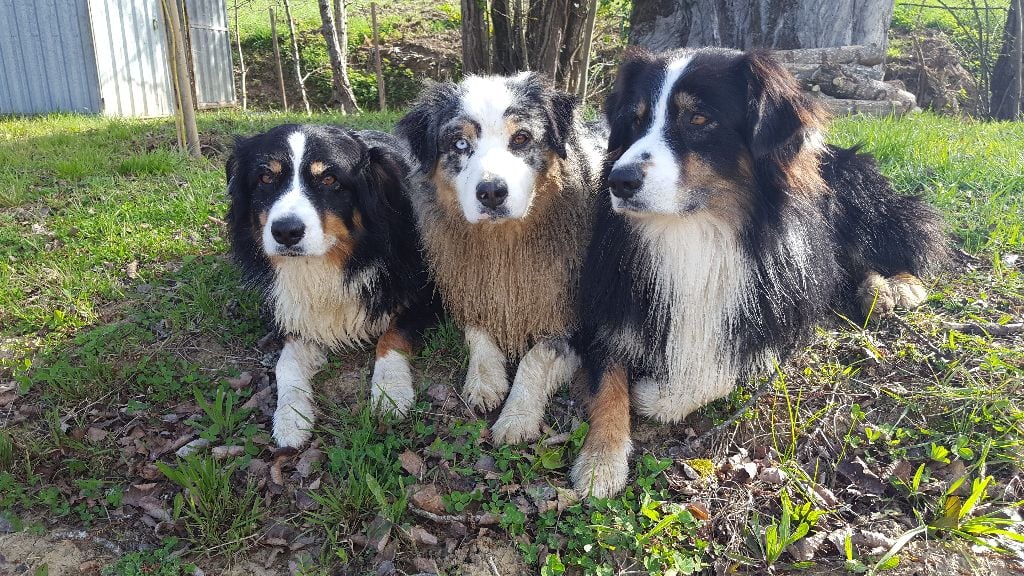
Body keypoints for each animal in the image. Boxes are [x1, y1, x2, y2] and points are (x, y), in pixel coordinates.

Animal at [228, 124, 436, 448]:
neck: (328, 263)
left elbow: (391, 336)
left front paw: (390, 391)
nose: (286, 232)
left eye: (329, 179)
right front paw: (290, 417)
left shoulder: (426, 296)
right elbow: (284, 365)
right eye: (265, 178)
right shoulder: (293, 312)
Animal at [395, 71, 602, 438]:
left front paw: (517, 417)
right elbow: (477, 331)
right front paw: (484, 381)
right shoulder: (472, 288)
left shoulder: (577, 324)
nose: (491, 192)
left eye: (521, 138)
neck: (504, 244)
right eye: (460, 144)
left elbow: (535, 358)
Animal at [573, 49, 946, 496]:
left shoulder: (775, 314)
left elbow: (718, 370)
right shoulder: (602, 305)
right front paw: (601, 461)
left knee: (904, 238)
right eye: (634, 119)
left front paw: (653, 395)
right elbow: (607, 386)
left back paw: (897, 287)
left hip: (855, 196)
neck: (695, 231)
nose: (619, 181)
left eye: (698, 118)